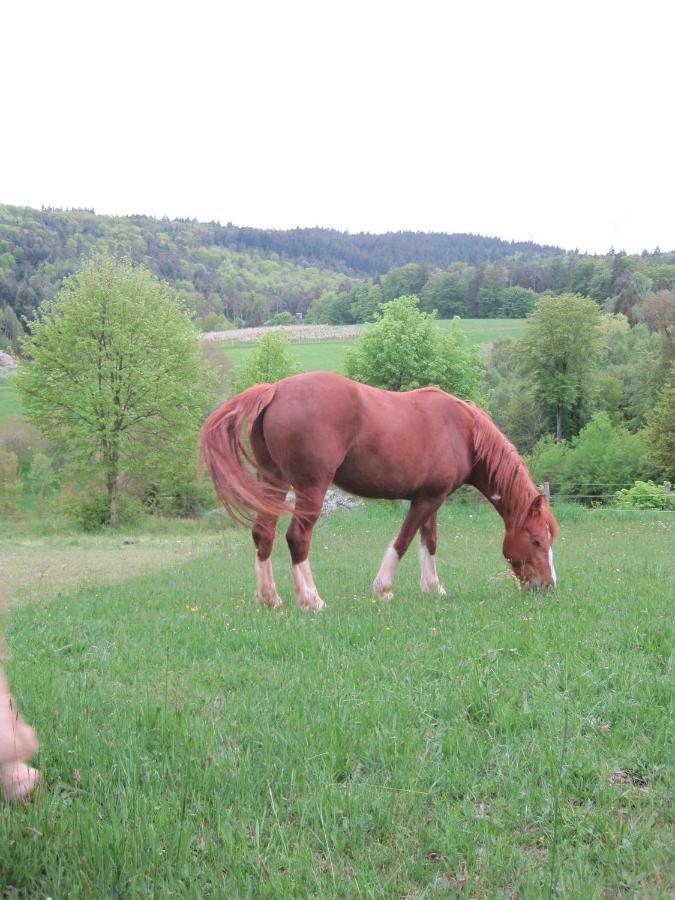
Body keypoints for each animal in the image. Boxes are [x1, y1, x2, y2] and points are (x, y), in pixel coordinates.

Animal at [202, 372, 560, 612]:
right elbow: (403, 540)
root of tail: (275, 390)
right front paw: (383, 588)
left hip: (273, 481)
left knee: (263, 533)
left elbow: (429, 541)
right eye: (536, 540)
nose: (548, 586)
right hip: (310, 488)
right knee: (297, 537)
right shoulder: (427, 500)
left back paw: (270, 598)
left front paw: (434, 588)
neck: (464, 431)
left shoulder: (432, 497)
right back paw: (311, 600)